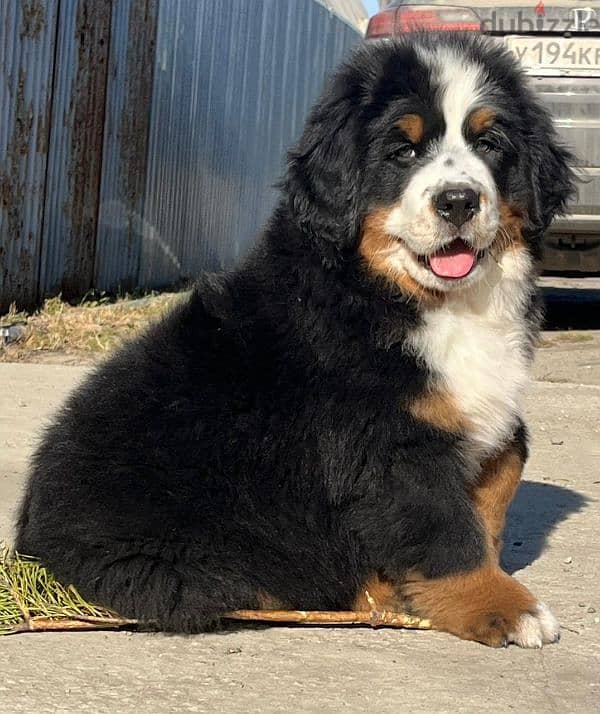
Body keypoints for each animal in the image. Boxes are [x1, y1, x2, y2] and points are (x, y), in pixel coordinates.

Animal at [15, 33, 576, 644]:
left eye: (489, 143)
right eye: (402, 153)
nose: (457, 201)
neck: (404, 294)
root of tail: (32, 544)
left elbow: (502, 475)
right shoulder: (389, 445)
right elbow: (449, 534)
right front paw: (504, 607)